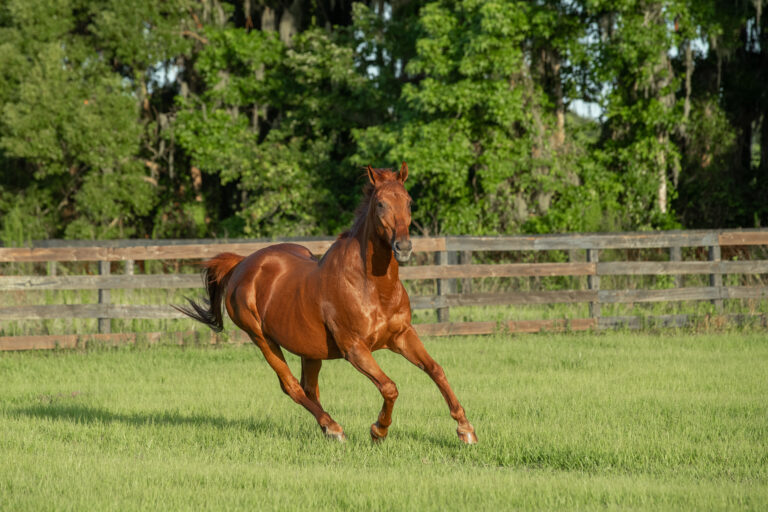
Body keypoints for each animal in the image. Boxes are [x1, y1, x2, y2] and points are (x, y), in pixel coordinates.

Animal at [174, 163, 477, 444]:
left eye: (409, 201)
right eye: (380, 203)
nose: (403, 247)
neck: (372, 288)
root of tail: (242, 263)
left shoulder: (402, 336)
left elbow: (436, 370)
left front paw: (466, 430)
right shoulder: (355, 349)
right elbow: (390, 387)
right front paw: (378, 430)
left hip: (309, 349)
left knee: (309, 388)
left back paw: (327, 427)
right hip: (262, 339)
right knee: (292, 387)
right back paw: (334, 429)